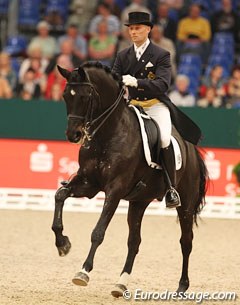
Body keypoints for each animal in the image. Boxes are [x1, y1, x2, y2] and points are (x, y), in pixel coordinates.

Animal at [51, 61, 208, 296]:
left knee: (186, 241)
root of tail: (190, 147)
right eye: (64, 96)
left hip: (186, 203)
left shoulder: (115, 190)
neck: (108, 134)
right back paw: (121, 283)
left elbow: (98, 232)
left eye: (85, 97)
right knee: (134, 241)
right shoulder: (88, 184)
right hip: (139, 202)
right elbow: (60, 195)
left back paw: (182, 286)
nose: (73, 135)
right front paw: (63, 244)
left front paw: (83, 272)